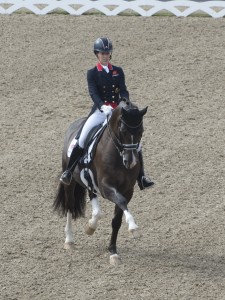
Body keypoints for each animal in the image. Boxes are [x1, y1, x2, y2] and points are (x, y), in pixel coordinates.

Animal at [53, 100, 149, 264]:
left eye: (140, 131)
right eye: (123, 131)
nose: (131, 162)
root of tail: (75, 124)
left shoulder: (127, 190)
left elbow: (116, 220)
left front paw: (113, 252)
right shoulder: (106, 187)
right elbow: (122, 202)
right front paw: (133, 228)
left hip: (90, 181)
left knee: (93, 198)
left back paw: (91, 225)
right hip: (70, 182)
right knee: (70, 206)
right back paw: (69, 240)